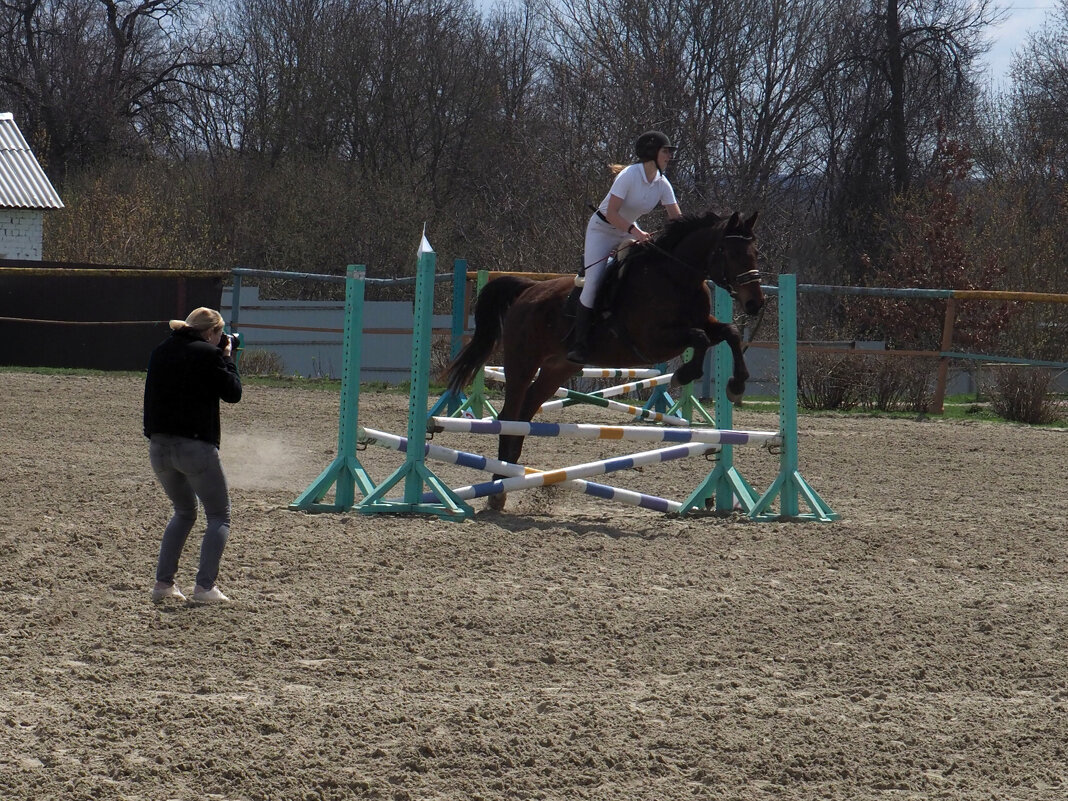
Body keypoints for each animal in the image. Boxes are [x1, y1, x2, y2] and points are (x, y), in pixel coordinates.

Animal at [440, 207, 760, 508]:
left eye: (755, 253)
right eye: (731, 253)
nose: (755, 304)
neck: (676, 277)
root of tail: (528, 289)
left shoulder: (702, 323)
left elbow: (730, 332)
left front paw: (736, 386)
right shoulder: (653, 341)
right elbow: (700, 338)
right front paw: (685, 374)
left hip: (557, 369)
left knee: (523, 416)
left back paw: (505, 480)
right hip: (522, 362)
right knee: (509, 416)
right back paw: (497, 489)